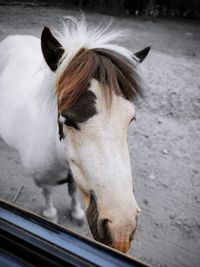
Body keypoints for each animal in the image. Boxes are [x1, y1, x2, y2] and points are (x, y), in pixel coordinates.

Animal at [0, 15, 150, 254]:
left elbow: (73, 191)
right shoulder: (41, 178)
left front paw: (77, 213)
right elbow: (47, 193)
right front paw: (51, 214)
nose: (121, 228)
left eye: (131, 118)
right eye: (67, 119)